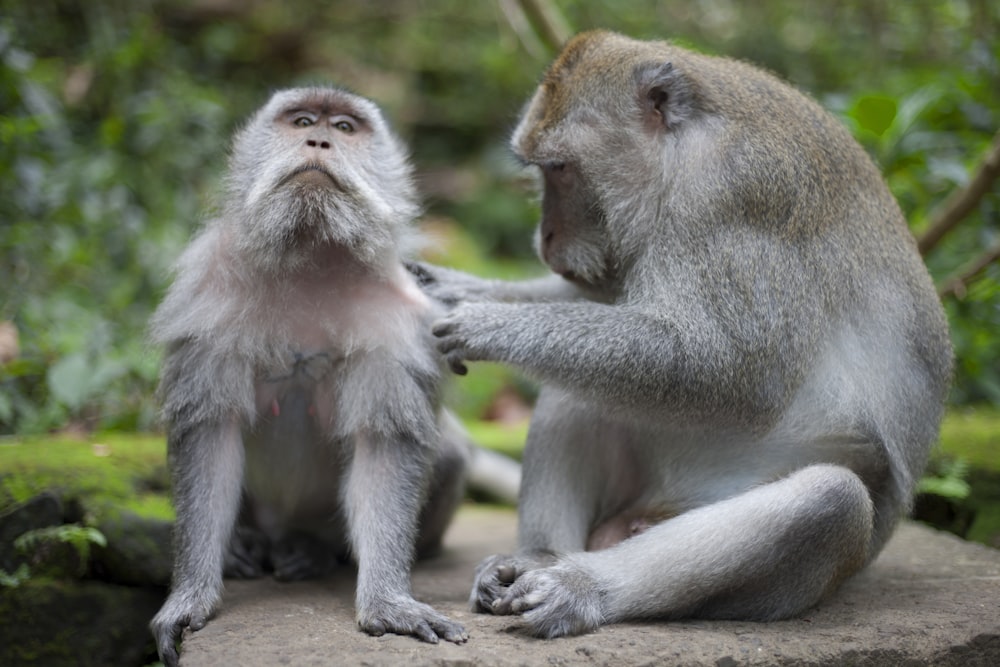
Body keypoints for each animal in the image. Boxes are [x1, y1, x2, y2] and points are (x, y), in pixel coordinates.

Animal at [148, 90, 472, 667]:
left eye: (343, 128)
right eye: (302, 121)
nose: (319, 140)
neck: (311, 252)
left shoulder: (399, 319)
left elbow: (385, 445)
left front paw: (388, 602)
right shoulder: (207, 294)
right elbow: (209, 434)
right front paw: (190, 599)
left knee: (451, 454)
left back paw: (314, 551)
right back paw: (246, 545)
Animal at [412, 30, 952, 636]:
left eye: (560, 168)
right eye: (543, 170)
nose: (544, 239)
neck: (683, 149)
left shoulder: (732, 199)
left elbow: (725, 370)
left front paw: (488, 323)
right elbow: (614, 307)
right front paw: (453, 288)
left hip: (798, 584)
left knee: (830, 501)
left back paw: (579, 588)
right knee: (576, 384)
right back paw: (538, 558)